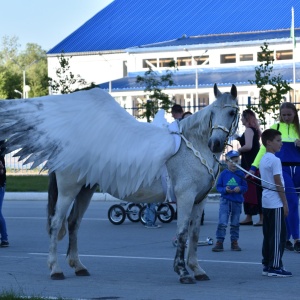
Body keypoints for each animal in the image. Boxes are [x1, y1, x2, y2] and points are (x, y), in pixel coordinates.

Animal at [0, 84, 239, 284]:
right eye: (213, 112)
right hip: (68, 191)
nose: (216, 144)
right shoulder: (185, 197)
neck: (193, 147)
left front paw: (197, 269)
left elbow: (194, 234)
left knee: (73, 223)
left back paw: (78, 266)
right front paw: (182, 272)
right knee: (56, 223)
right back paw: (55, 269)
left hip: (85, 191)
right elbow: (181, 234)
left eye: (231, 112)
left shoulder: (199, 200)